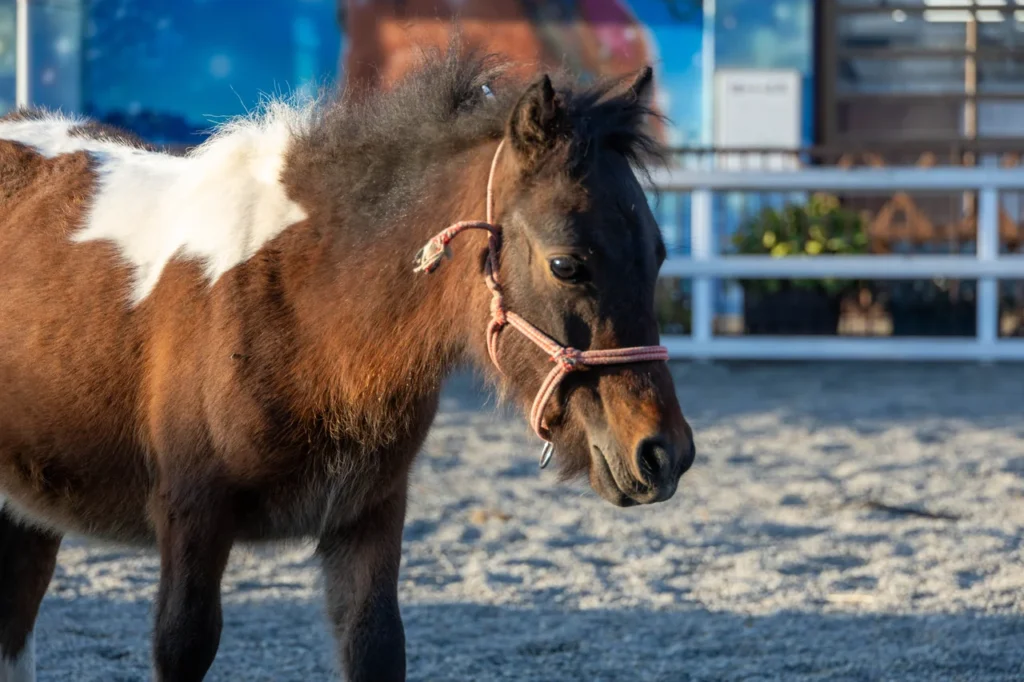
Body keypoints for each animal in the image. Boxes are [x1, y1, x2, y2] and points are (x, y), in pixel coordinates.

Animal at [0, 46, 694, 682]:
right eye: (566, 264)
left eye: (659, 254)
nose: (664, 454)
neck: (307, 313)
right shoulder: (192, 518)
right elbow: (183, 644)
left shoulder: (369, 517)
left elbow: (375, 645)